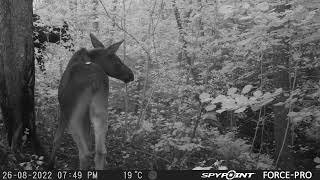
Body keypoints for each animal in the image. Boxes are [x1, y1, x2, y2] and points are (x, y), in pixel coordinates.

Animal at [48, 34, 133, 170]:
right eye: (117, 61)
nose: (131, 75)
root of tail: (94, 81)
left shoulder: (63, 109)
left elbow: (57, 138)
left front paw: (50, 164)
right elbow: (89, 140)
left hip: (74, 114)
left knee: (84, 153)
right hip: (100, 109)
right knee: (100, 151)